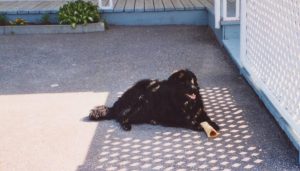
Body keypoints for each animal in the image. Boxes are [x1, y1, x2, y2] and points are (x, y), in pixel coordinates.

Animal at [88, 69, 219, 135]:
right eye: (184, 82)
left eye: (193, 80)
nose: (195, 88)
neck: (185, 102)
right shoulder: (177, 116)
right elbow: (189, 120)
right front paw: (198, 125)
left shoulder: (199, 110)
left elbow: (204, 116)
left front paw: (213, 123)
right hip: (141, 103)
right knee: (122, 117)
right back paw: (127, 125)